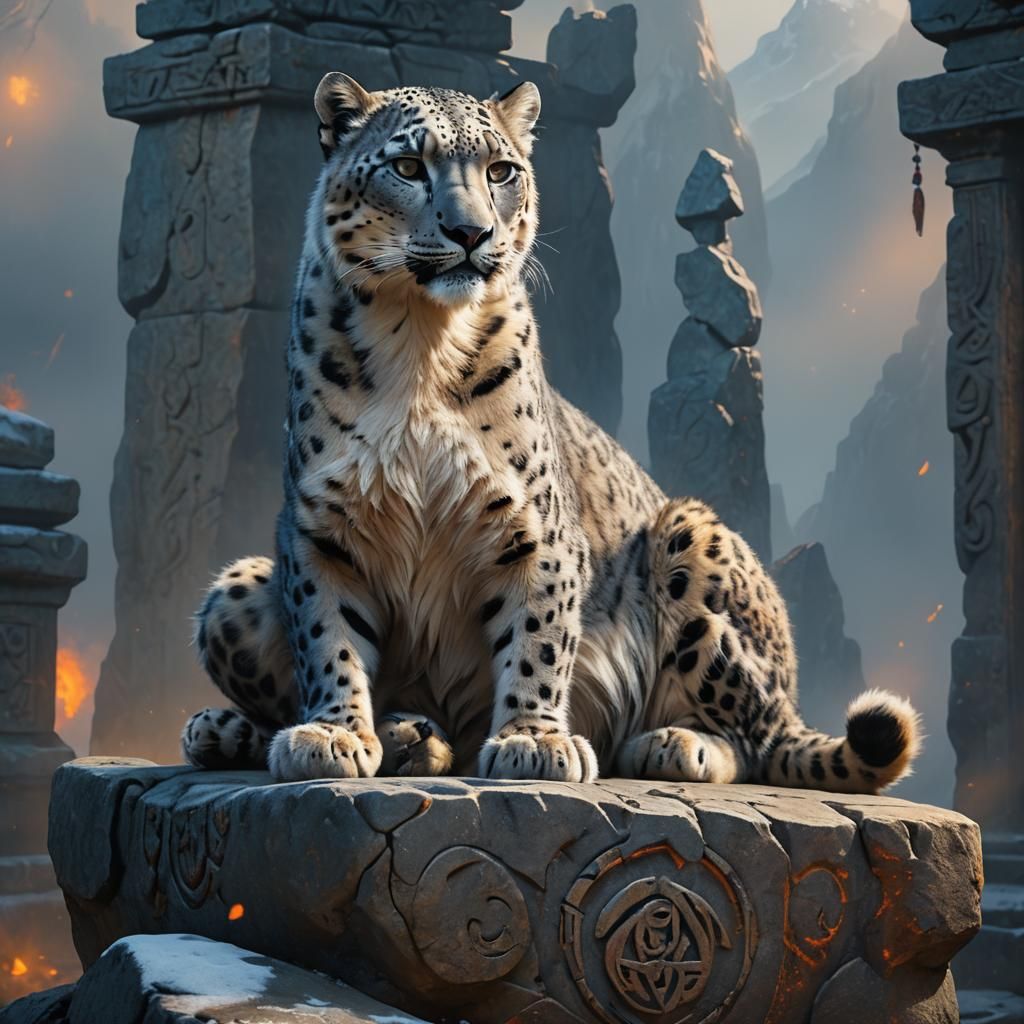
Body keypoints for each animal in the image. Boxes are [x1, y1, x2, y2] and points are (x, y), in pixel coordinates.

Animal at [182, 72, 920, 794]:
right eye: (408, 166)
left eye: (501, 169)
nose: (471, 231)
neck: (421, 341)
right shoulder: (322, 525)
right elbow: (327, 637)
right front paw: (333, 733)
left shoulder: (534, 528)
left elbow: (537, 635)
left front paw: (533, 741)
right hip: (233, 588)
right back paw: (315, 731)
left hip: (691, 536)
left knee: (758, 736)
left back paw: (671, 744)